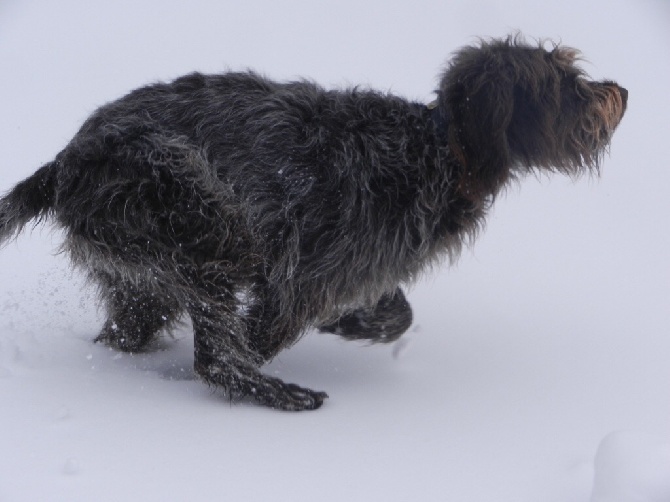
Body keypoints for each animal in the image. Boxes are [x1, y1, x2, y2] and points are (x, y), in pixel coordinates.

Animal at [1, 36, 632, 412]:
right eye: (564, 81)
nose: (621, 91)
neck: (439, 148)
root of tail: (64, 164)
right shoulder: (299, 278)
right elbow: (261, 333)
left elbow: (398, 314)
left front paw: (355, 323)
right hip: (201, 214)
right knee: (217, 357)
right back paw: (277, 394)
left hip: (139, 275)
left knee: (129, 332)